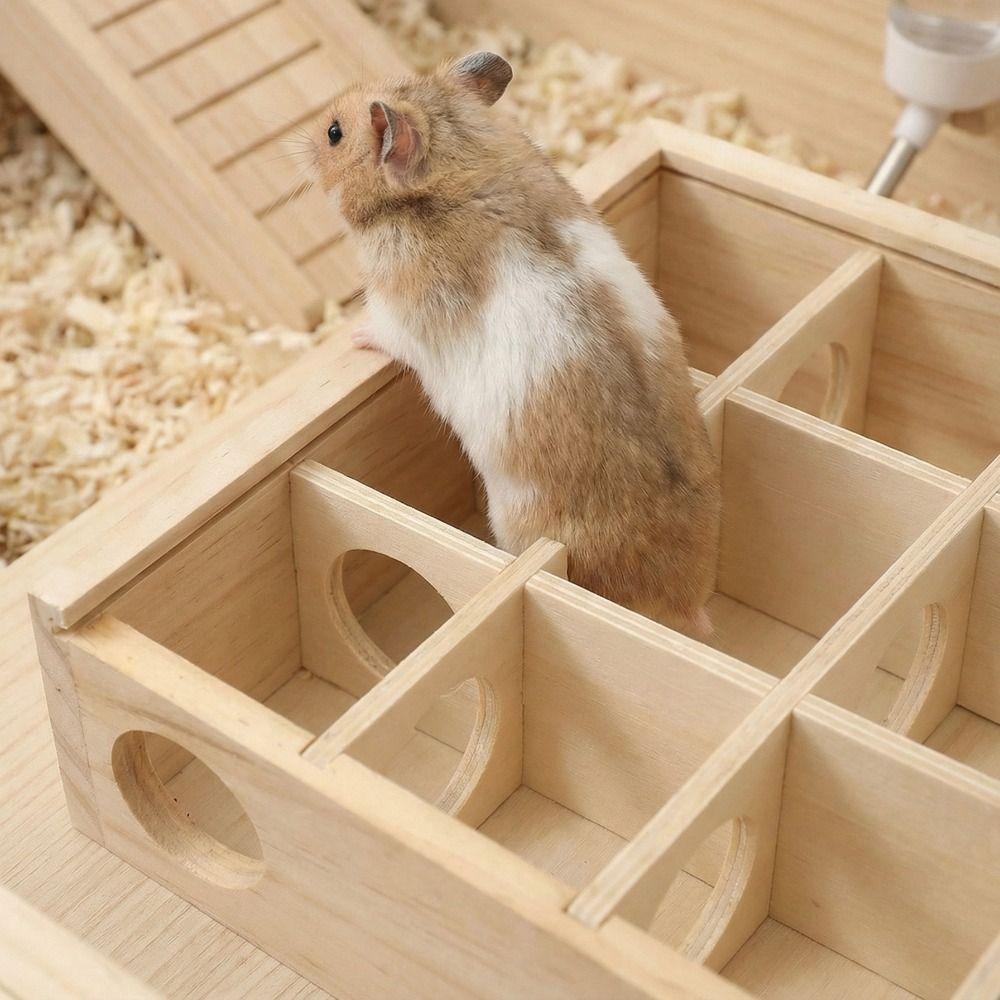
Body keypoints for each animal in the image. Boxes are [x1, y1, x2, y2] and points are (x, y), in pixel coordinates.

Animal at [310, 51, 720, 635]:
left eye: (334, 133)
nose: (302, 143)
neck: (461, 159)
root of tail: (685, 600)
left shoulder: (400, 309)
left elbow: (384, 330)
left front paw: (352, 333)